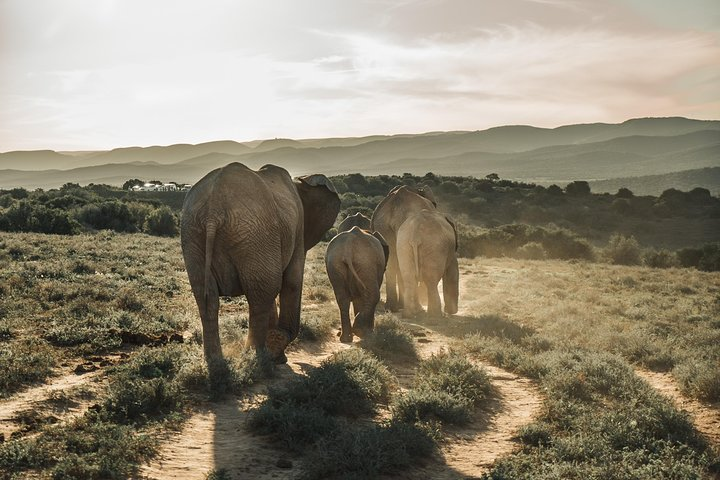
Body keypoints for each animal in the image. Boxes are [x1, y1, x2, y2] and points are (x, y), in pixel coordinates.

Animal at [179, 162, 338, 364]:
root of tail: (213, 210)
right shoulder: (297, 230)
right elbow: (291, 282)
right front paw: (277, 354)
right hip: (255, 234)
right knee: (262, 294)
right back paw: (256, 359)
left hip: (195, 233)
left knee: (207, 296)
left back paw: (216, 362)